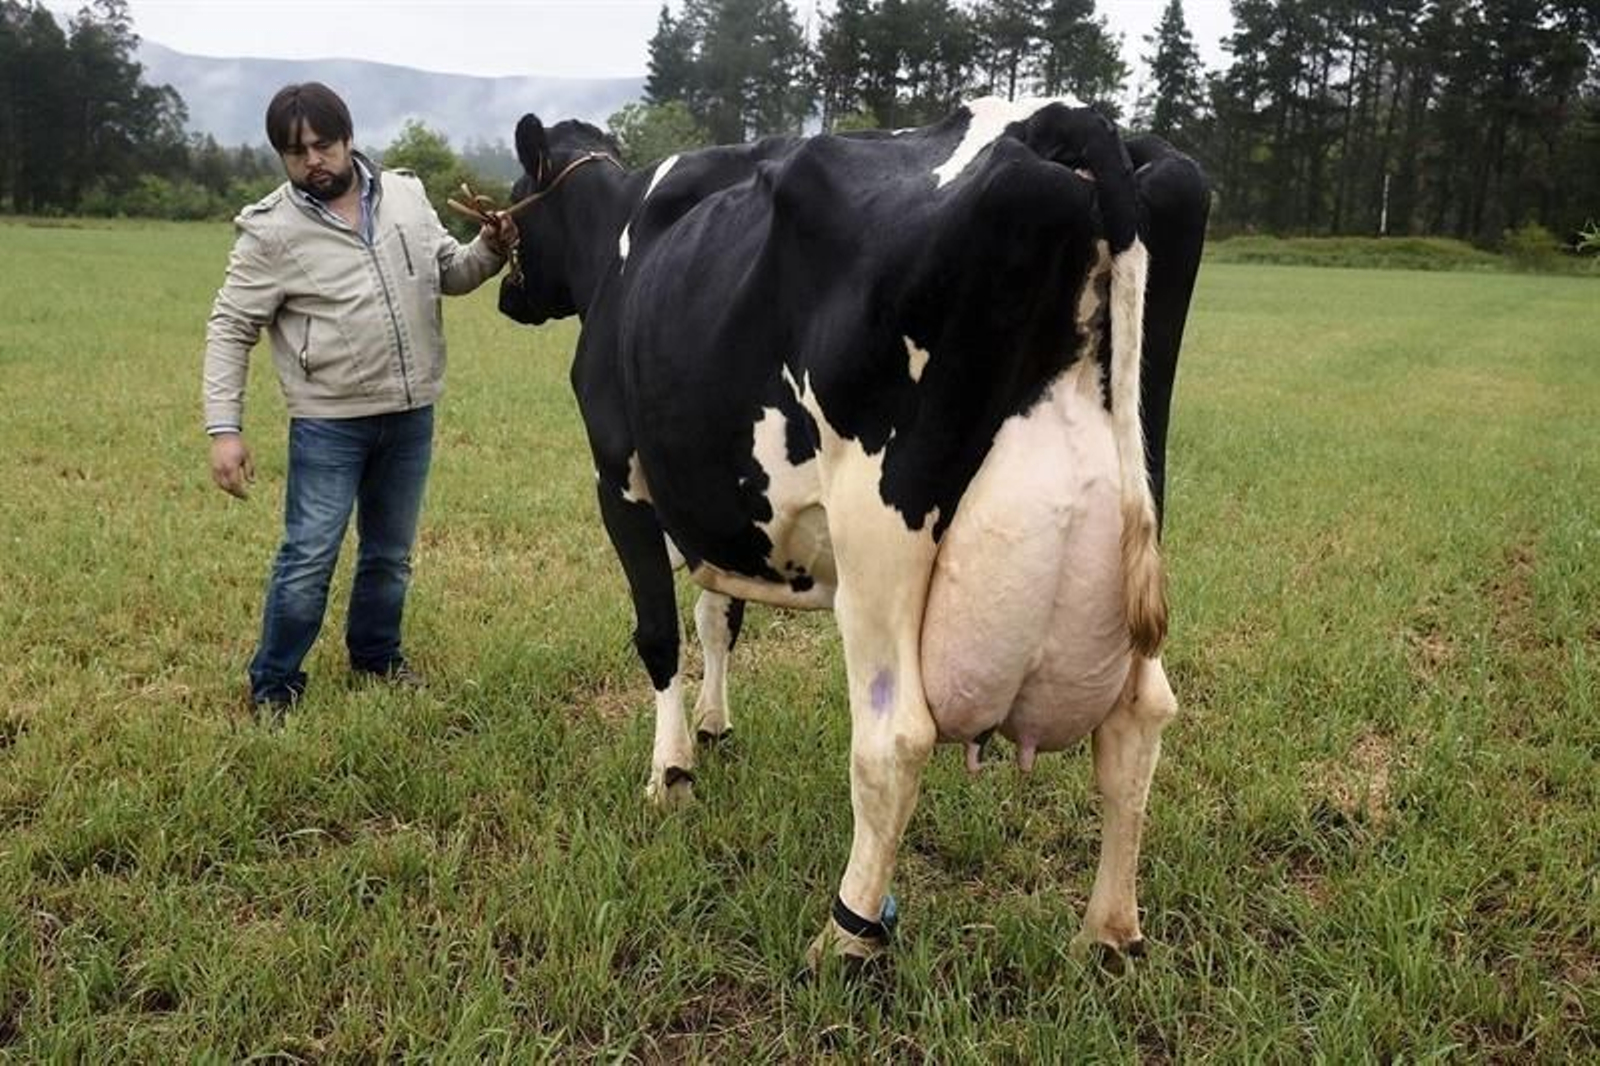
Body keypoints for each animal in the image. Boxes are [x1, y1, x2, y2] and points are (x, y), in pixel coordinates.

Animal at [496, 96, 1208, 969]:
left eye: (519, 193)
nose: (505, 292)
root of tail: (1055, 119)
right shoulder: (722, 511)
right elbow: (719, 615)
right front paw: (714, 725)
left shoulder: (620, 479)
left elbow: (659, 634)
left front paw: (670, 774)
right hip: (1138, 506)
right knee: (1139, 721)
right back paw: (1108, 931)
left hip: (879, 534)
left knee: (893, 739)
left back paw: (847, 932)